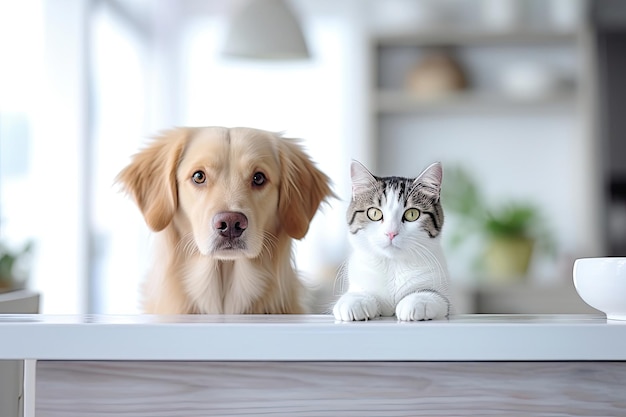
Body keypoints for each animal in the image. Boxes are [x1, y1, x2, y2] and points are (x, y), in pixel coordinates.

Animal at [332, 161, 448, 320]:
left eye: (412, 214)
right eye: (374, 213)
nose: (391, 233)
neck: (392, 264)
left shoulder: (441, 293)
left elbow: (436, 297)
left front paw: (417, 301)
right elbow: (359, 292)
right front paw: (355, 301)